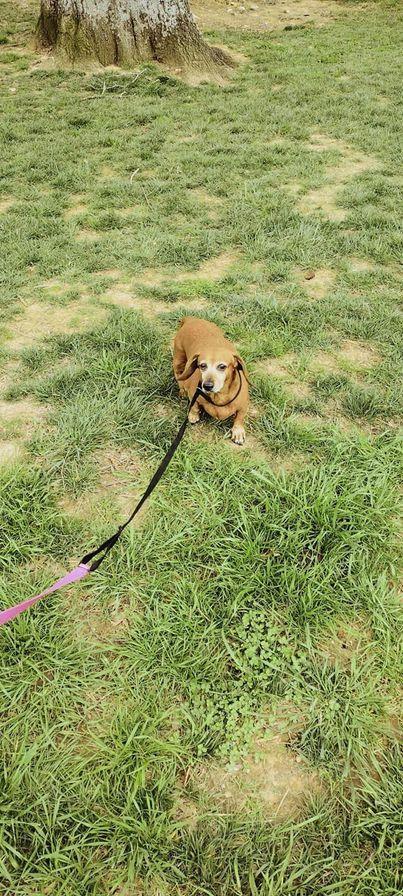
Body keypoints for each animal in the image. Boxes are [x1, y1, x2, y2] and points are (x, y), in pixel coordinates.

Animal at [173, 316, 249, 446]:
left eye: (222, 366)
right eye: (202, 365)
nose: (207, 386)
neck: (219, 397)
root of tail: (191, 319)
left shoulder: (244, 405)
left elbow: (239, 418)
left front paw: (238, 431)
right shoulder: (193, 393)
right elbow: (194, 405)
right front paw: (193, 415)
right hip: (178, 361)